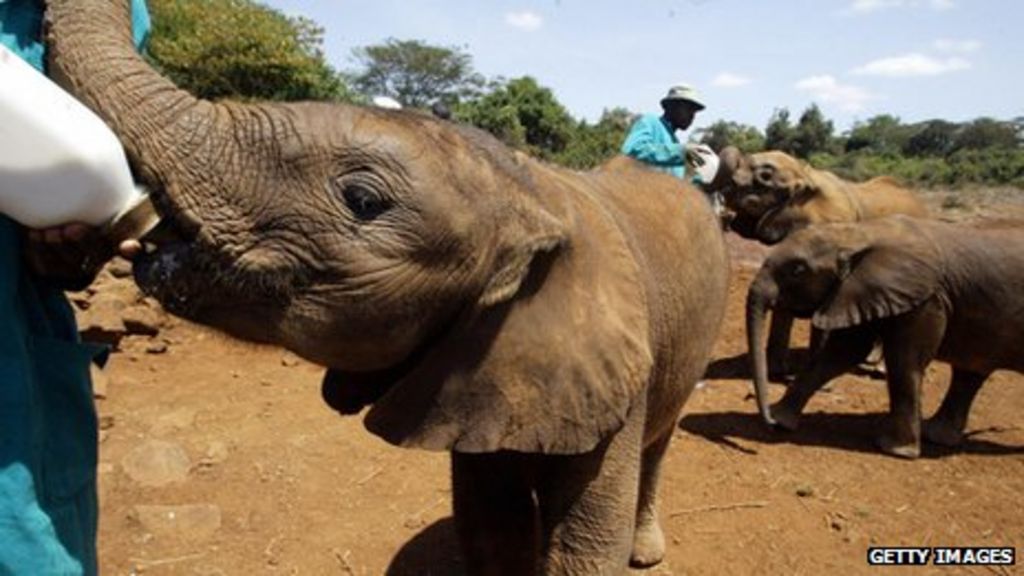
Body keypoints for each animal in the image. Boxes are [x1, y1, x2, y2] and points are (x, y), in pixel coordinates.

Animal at [45, 1, 729, 573]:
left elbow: (584, 548)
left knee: (660, 441)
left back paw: (646, 551)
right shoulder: (475, 371)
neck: (530, 191)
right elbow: (492, 528)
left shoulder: (610, 366)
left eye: (363, 200)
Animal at [746, 215, 1024, 459]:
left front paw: (896, 451)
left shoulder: (927, 300)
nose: (767, 421)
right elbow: (843, 352)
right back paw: (936, 436)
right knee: (970, 373)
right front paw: (781, 419)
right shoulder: (861, 290)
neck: (859, 234)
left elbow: (904, 362)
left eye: (797, 270)